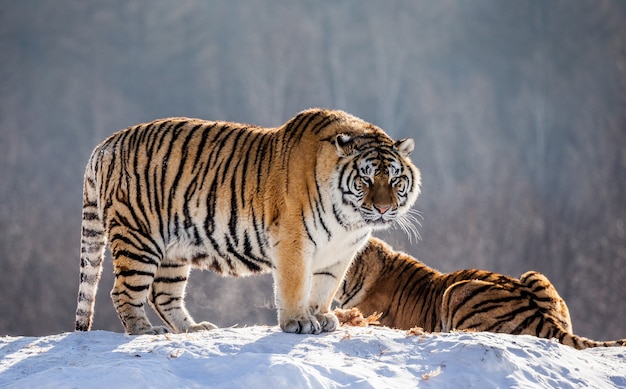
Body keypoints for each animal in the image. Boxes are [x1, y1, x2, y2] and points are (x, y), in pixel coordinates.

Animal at [73, 108, 420, 334]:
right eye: (365, 179)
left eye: (394, 180)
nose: (383, 209)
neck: (347, 221)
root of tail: (105, 144)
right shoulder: (293, 240)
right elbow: (295, 284)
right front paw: (298, 322)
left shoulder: (339, 253)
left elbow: (324, 287)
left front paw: (321, 317)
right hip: (138, 236)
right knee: (123, 292)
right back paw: (144, 331)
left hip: (173, 248)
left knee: (163, 294)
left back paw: (194, 329)